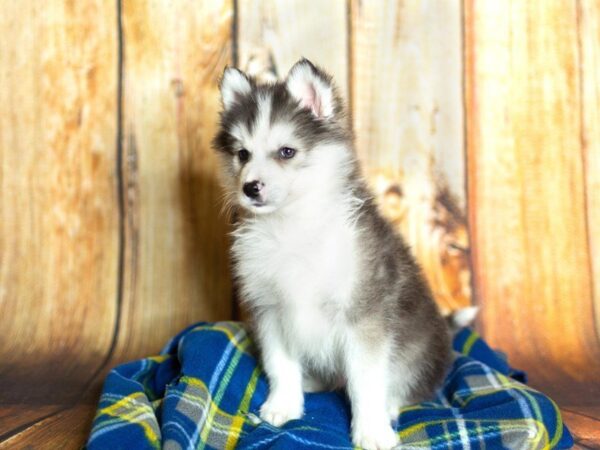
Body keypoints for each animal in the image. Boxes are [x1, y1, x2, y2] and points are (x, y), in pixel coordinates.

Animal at [212, 59, 450, 450]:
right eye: (242, 154)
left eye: (286, 152)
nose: (250, 187)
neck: (291, 225)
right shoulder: (270, 310)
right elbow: (280, 364)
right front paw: (283, 405)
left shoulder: (363, 315)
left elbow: (366, 380)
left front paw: (371, 430)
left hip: (423, 348)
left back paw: (389, 406)